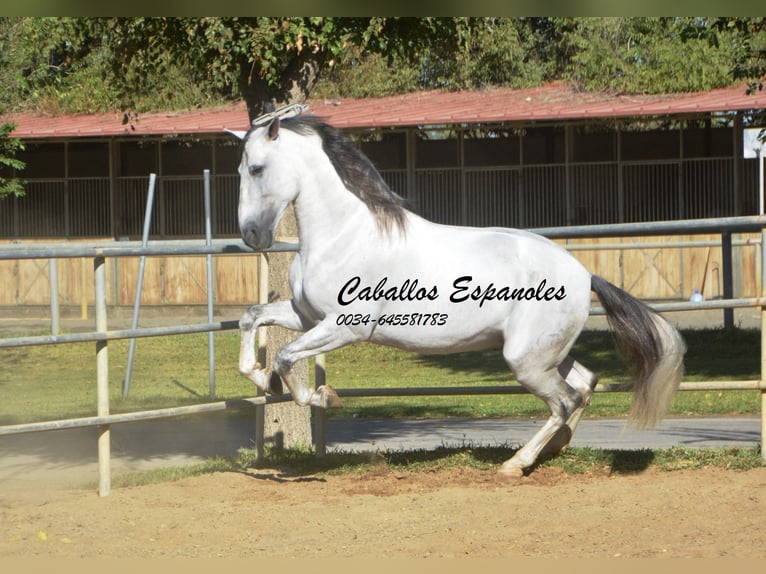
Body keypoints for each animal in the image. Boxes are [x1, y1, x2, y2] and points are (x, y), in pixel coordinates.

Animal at [231, 106, 688, 480]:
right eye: (240, 171)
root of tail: (584, 274)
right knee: (584, 384)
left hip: (526, 360)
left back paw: (515, 465)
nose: (251, 235)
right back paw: (554, 450)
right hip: (545, 352)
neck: (346, 235)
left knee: (565, 401)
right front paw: (263, 378)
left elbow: (286, 356)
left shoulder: (347, 327)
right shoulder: (305, 315)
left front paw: (321, 396)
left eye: (257, 169)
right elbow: (252, 317)